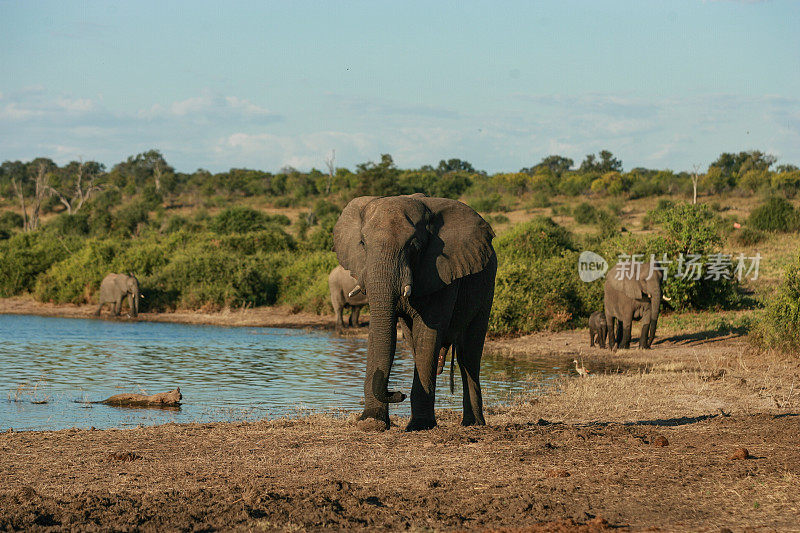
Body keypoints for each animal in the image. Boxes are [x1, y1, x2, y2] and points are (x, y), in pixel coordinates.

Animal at [330, 193, 494, 430]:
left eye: (414, 246)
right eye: (363, 243)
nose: (398, 393)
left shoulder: (441, 272)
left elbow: (428, 333)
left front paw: (420, 426)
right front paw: (371, 422)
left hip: (487, 287)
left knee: (468, 356)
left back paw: (473, 424)